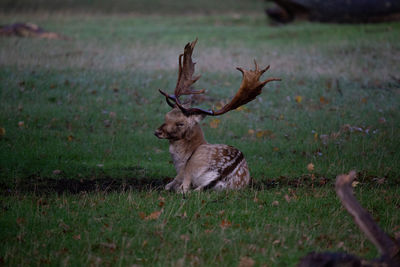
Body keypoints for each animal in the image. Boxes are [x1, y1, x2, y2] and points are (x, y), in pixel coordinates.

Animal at [154, 38, 282, 194]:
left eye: (181, 123)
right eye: (166, 116)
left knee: (183, 189)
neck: (181, 160)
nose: (157, 132)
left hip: (193, 165)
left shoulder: (183, 171)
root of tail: (221, 174)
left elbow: (170, 185)